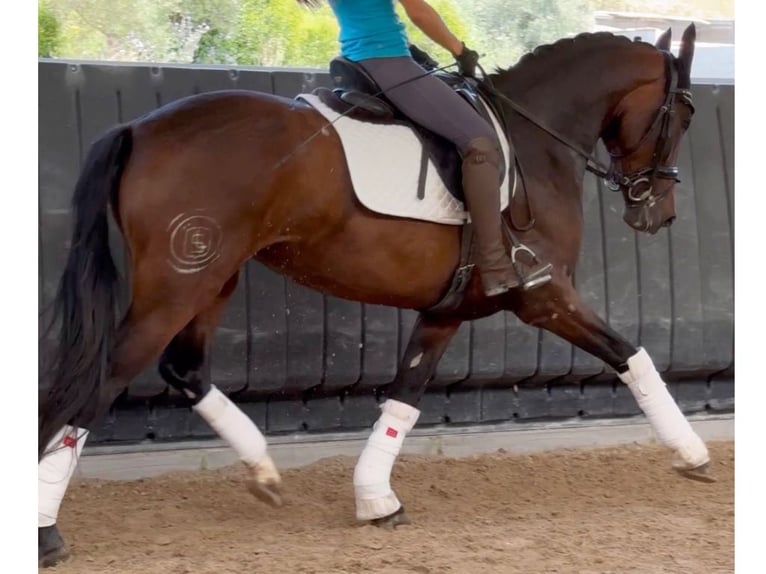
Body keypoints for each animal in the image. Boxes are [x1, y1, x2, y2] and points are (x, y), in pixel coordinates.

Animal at [40, 24, 712, 568]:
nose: (659, 214)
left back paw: (264, 471)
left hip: (214, 279)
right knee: (101, 381)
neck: (535, 139)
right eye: (683, 114)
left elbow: (404, 399)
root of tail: (139, 126)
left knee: (184, 369)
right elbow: (631, 354)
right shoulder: (544, 296)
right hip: (180, 283)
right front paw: (694, 455)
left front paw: (374, 498)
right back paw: (46, 531)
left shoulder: (446, 311)